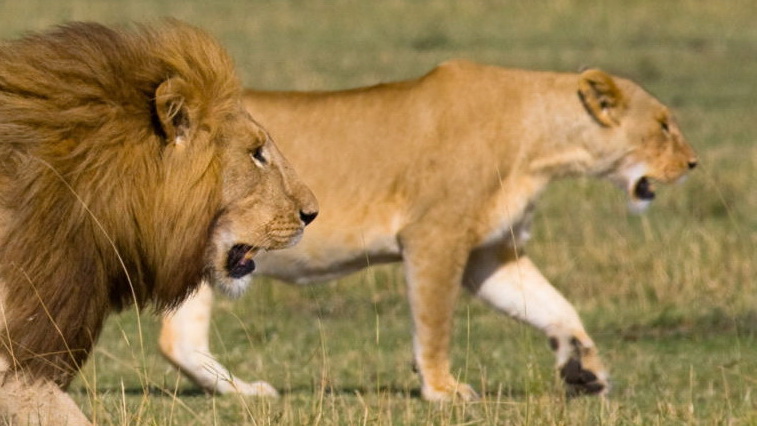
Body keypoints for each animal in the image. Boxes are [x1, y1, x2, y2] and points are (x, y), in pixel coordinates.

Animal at [160, 60, 697, 401]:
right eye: (663, 125)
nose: (693, 164)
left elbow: (554, 305)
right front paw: (442, 389)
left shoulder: (490, 252)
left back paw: (244, 393)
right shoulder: (435, 235)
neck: (540, 144)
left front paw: (583, 370)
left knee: (178, 340)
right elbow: (434, 321)